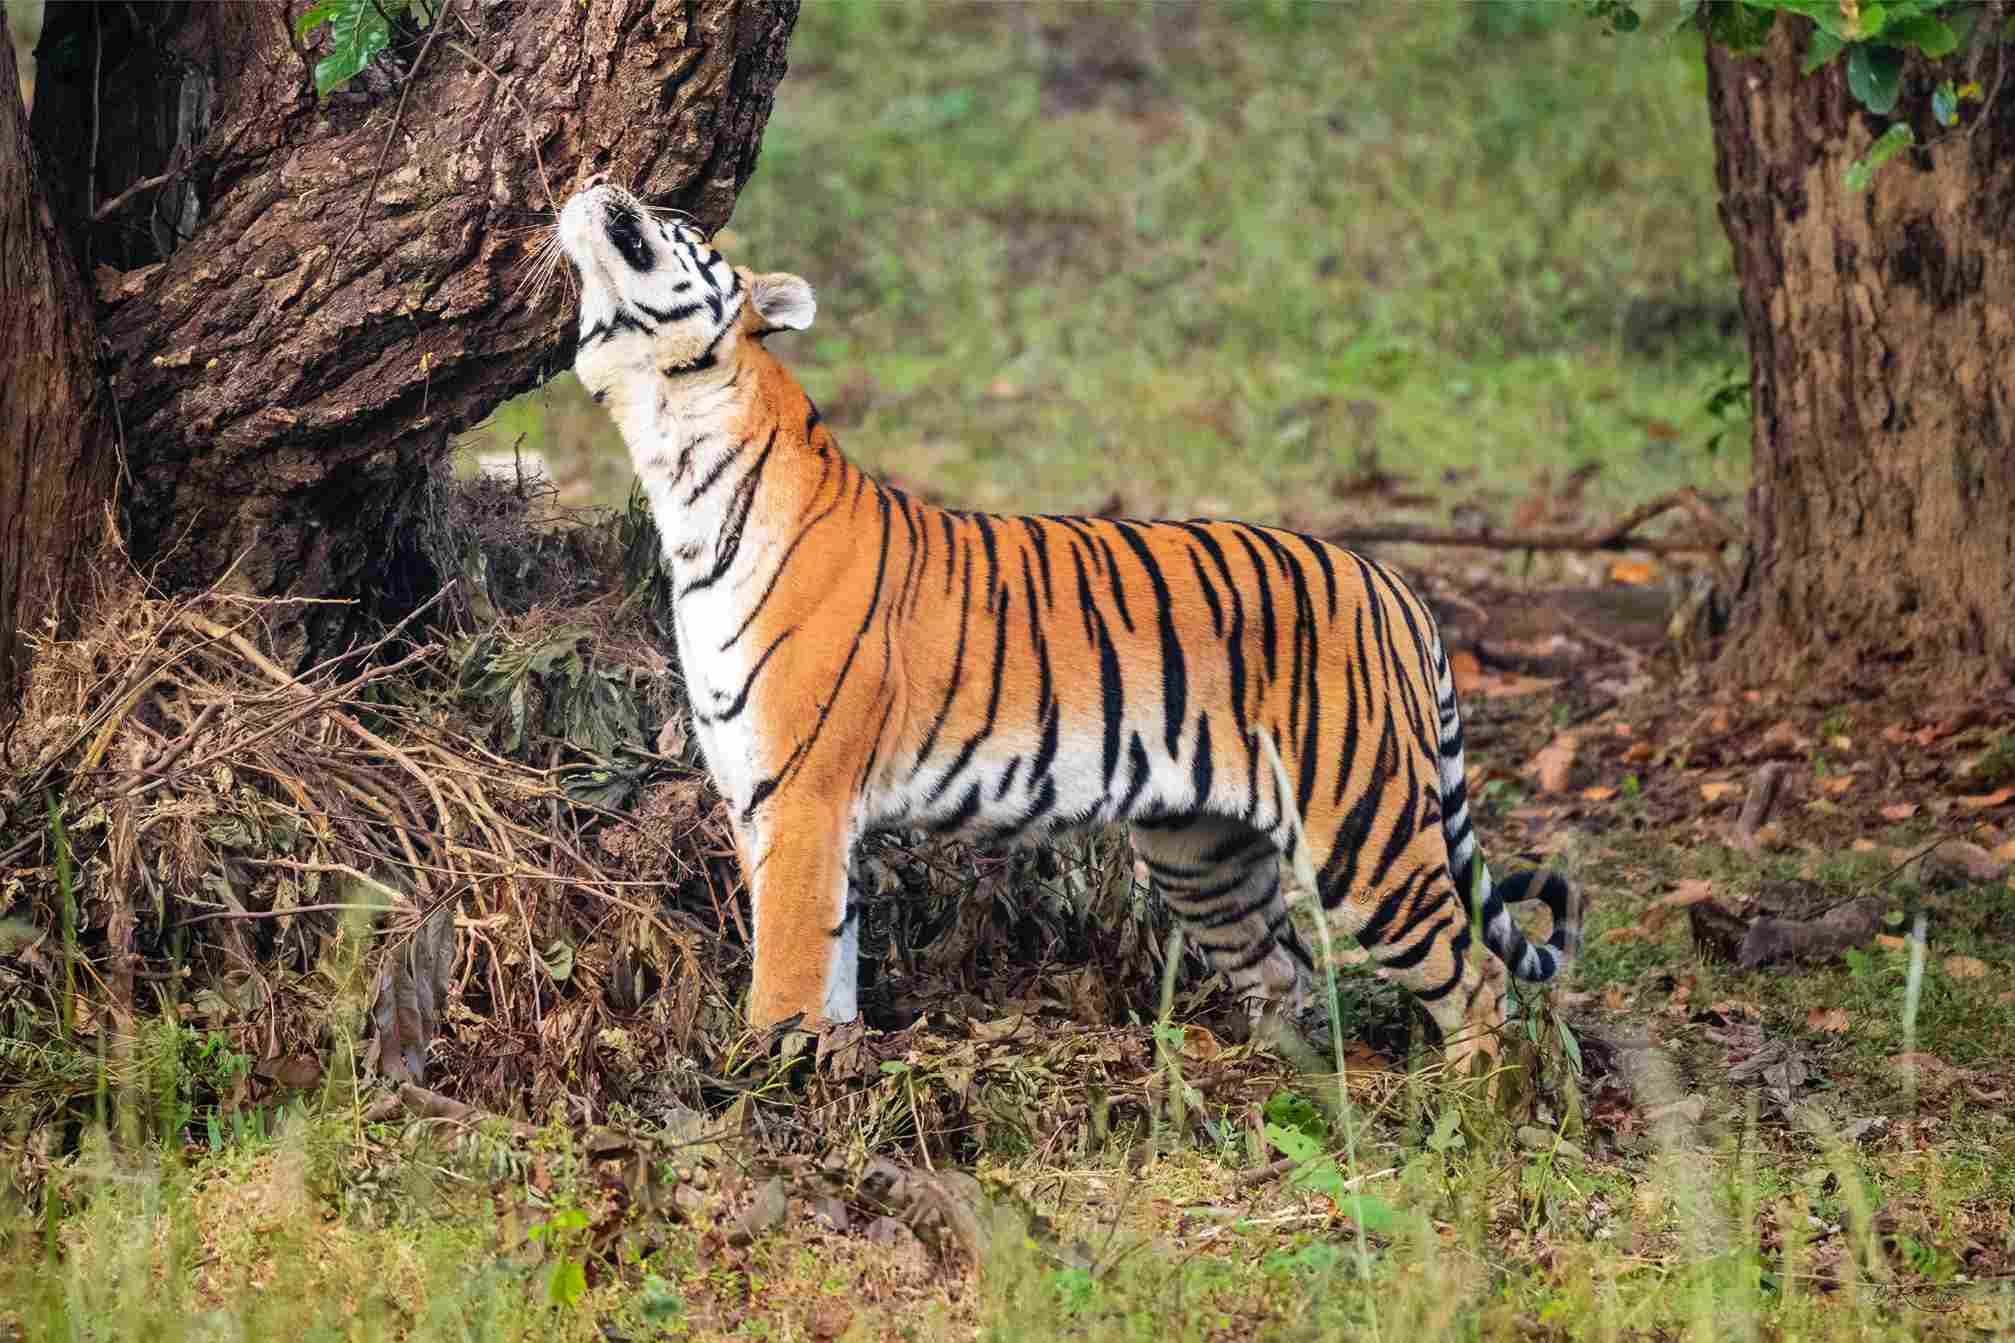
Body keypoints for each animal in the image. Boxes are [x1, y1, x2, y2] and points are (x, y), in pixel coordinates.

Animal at [552, 178, 1571, 1079]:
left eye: (681, 222)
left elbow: (789, 964)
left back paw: (1470, 1111)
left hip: (1362, 828)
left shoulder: (803, 795)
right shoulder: (760, 795)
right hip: (1201, 851)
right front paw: (832, 1069)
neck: (671, 446)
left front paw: (764, 1082)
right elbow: (829, 960)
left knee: (1476, 981)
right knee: (1285, 970)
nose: (596, 175)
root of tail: (1391, 579)